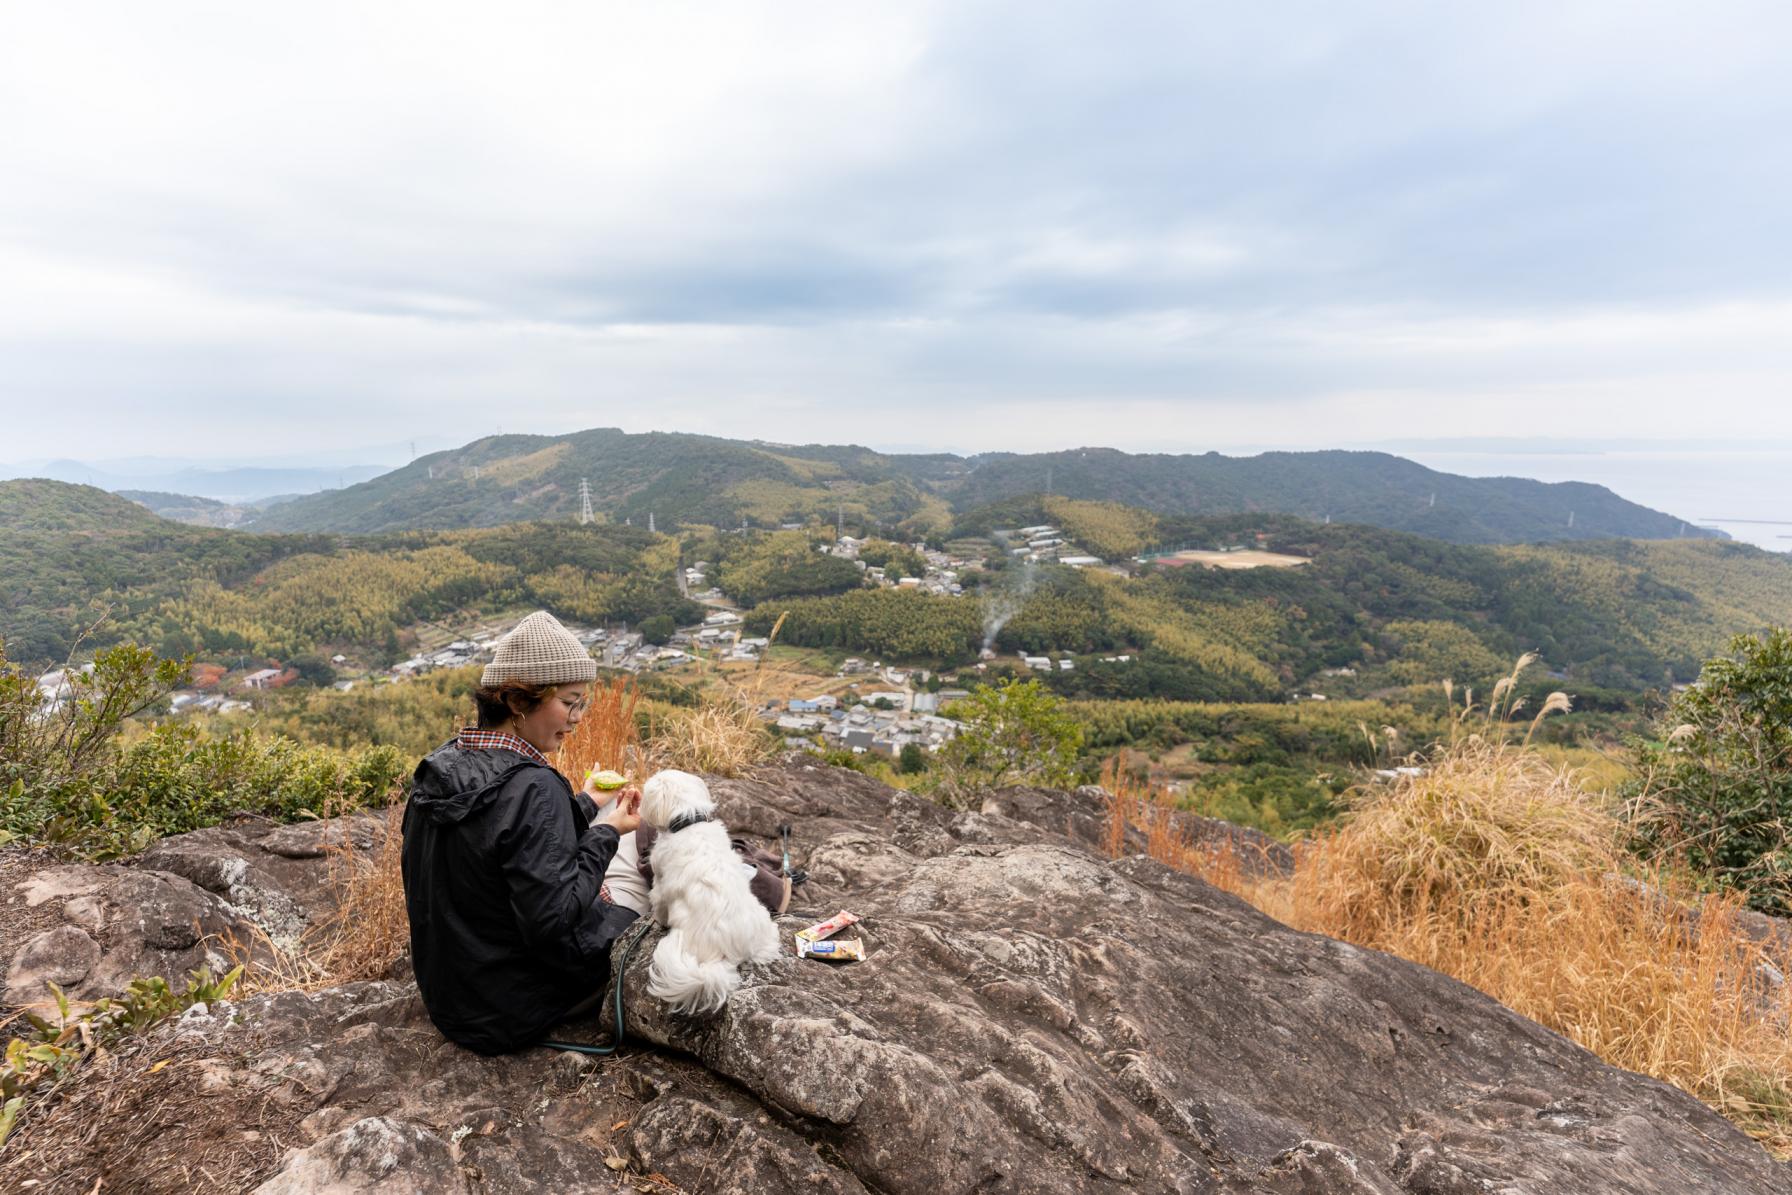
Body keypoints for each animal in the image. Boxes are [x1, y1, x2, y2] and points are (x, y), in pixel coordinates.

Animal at [645, 770, 784, 1017]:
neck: (688, 822)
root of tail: (730, 954)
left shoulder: (660, 882)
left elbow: (658, 903)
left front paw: (656, 920)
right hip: (762, 918)